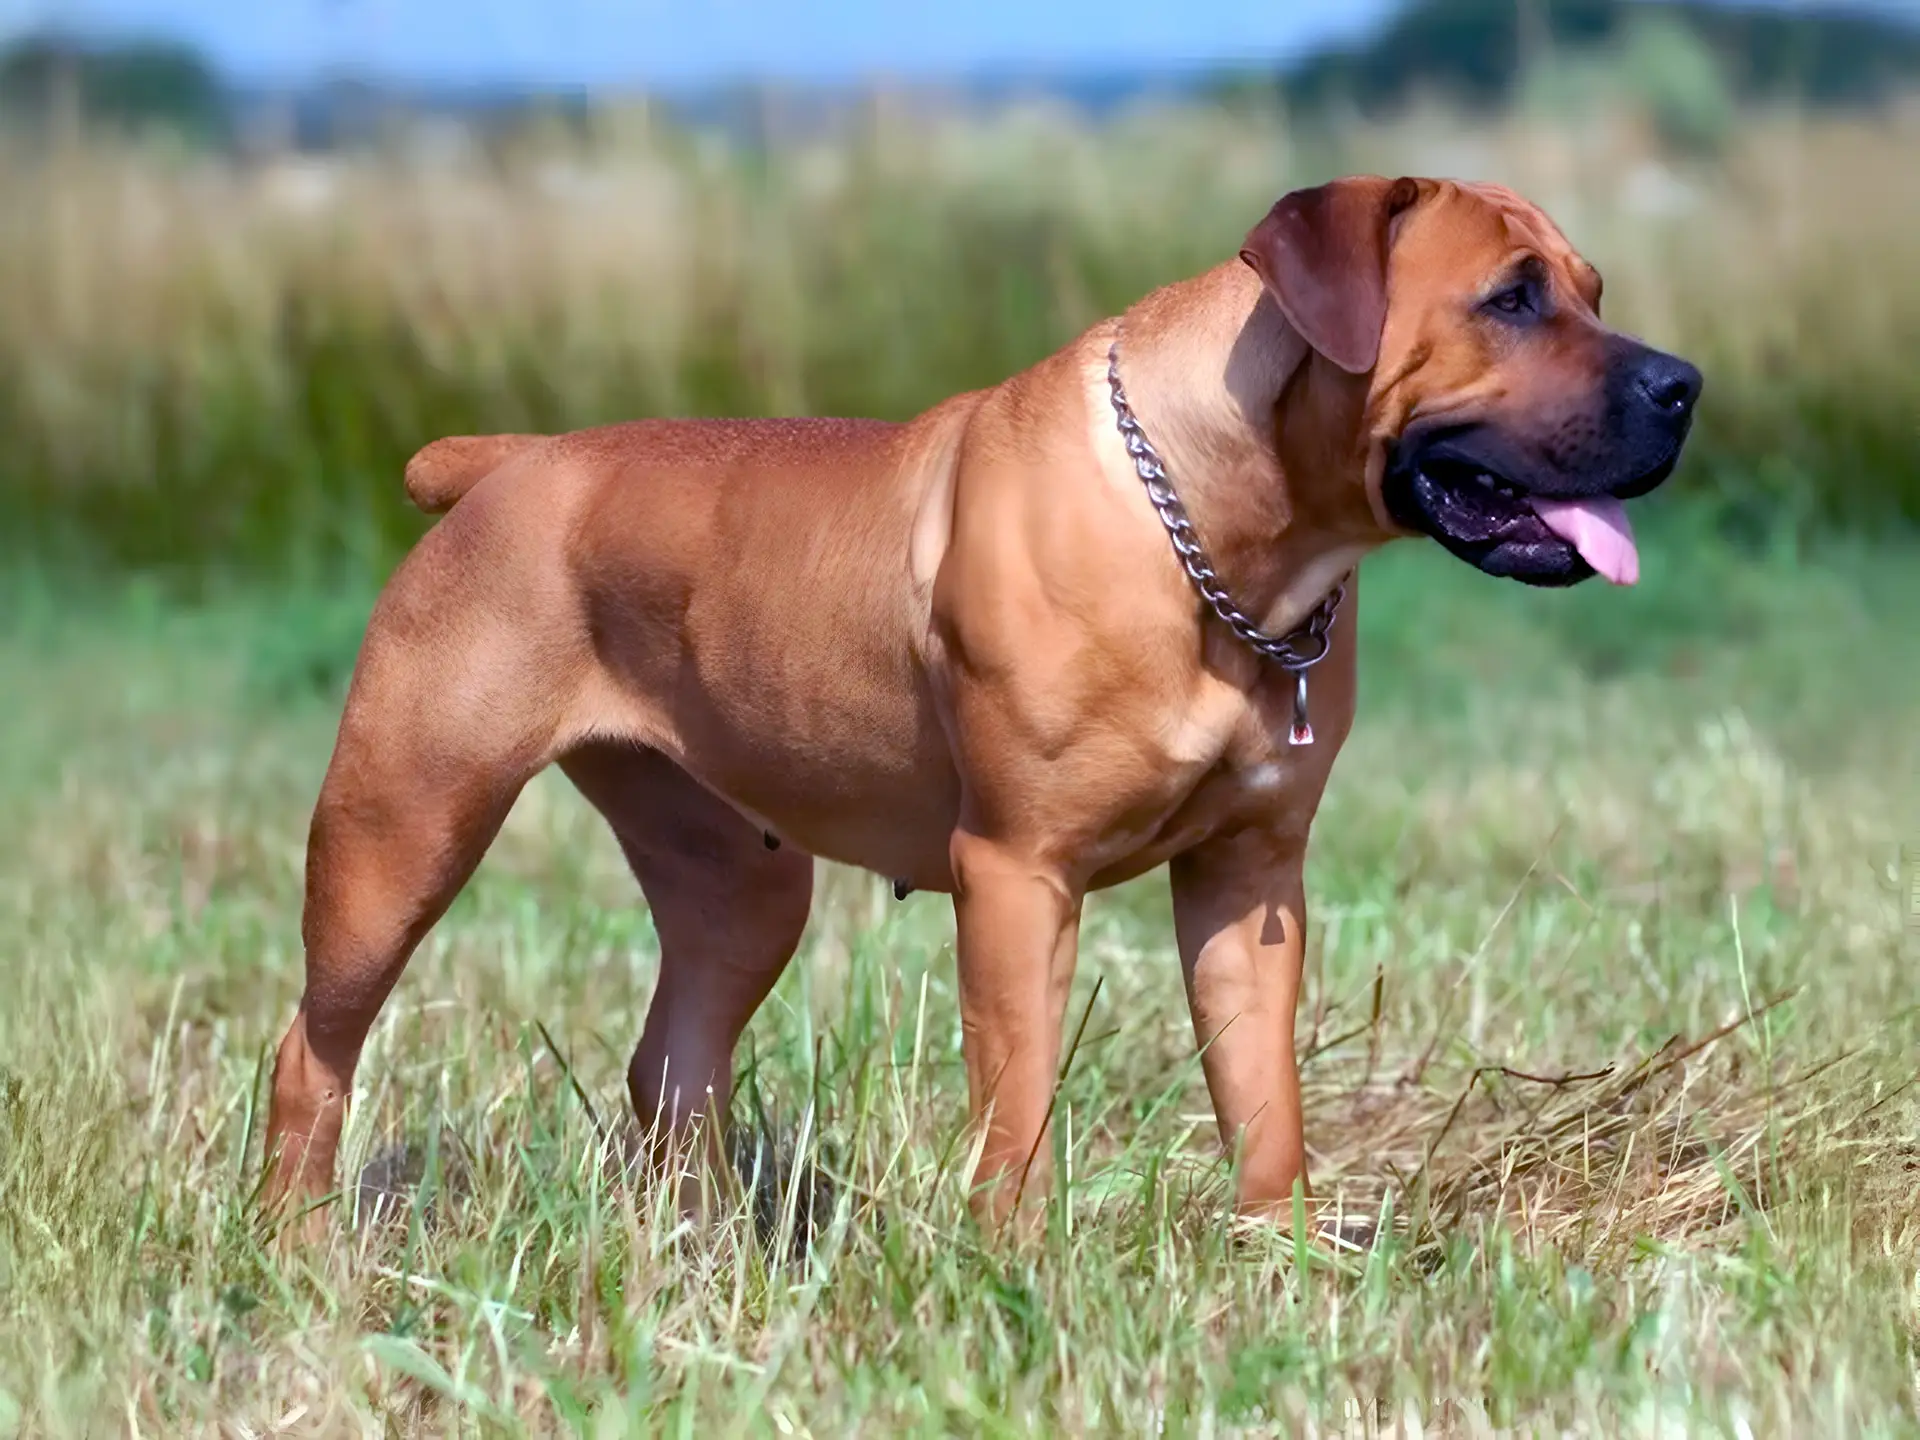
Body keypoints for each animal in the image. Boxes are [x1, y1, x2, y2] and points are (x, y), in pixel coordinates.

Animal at [263, 168, 1704, 1228]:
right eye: (1511, 299)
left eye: (1591, 291)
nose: (1685, 383)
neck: (1221, 536)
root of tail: (507, 463)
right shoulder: (1017, 872)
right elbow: (1015, 1107)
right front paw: (1014, 1267)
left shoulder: (1250, 882)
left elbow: (1265, 1098)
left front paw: (1282, 1254)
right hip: (401, 831)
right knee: (313, 1050)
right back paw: (295, 1243)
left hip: (737, 883)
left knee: (673, 1060)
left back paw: (706, 1252)